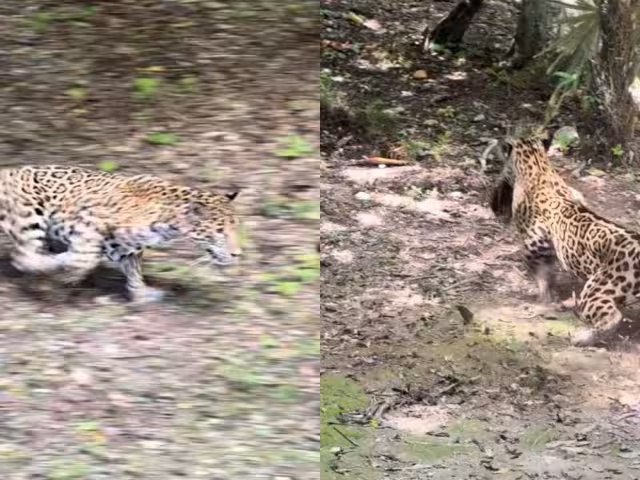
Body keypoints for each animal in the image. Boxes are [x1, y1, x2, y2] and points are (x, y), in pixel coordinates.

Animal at [0, 165, 242, 303]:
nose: (238, 254)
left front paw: (141, 294)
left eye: (235, 229)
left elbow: (133, 270)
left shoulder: (127, 246)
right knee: (23, 257)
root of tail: (7, 171)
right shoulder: (90, 218)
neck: (169, 222)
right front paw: (66, 268)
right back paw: (46, 265)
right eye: (220, 232)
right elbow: (85, 258)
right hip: (30, 214)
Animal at [490, 129, 640, 347]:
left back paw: (583, 337)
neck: (538, 167)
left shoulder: (534, 244)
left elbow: (542, 273)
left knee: (611, 317)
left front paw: (544, 297)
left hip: (599, 286)